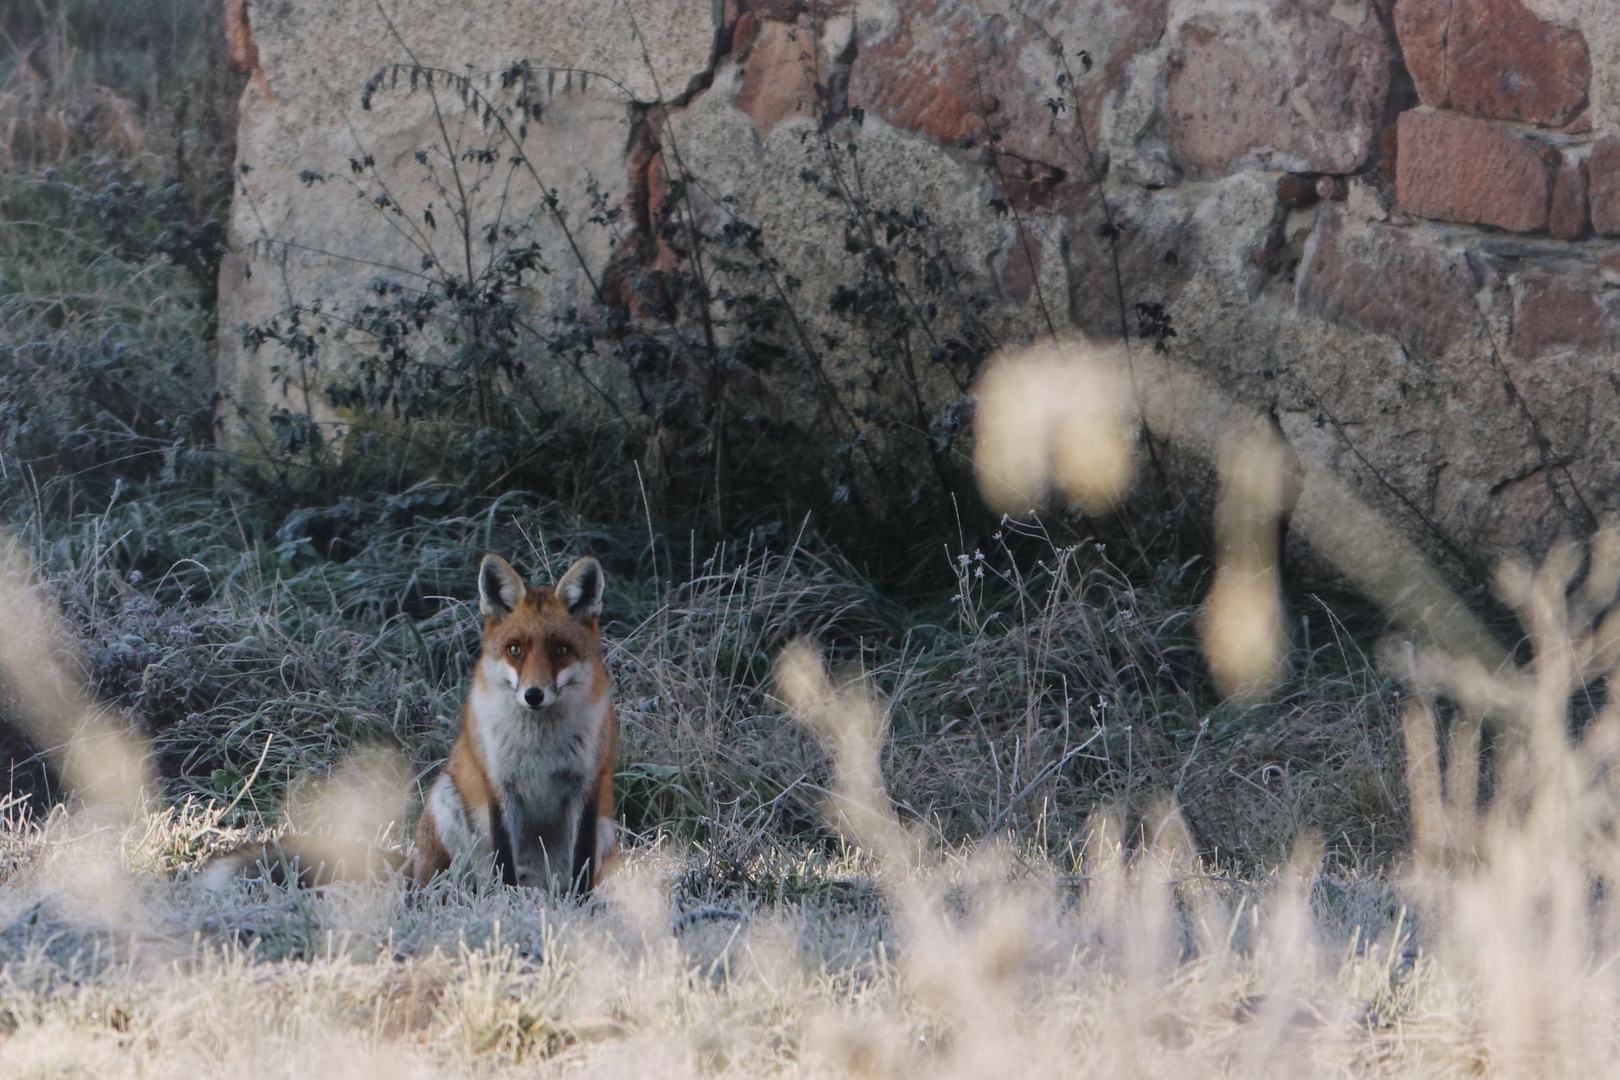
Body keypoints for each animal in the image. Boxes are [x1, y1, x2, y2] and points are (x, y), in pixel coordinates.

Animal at [411, 553, 618, 893]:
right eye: (515, 649)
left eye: (561, 650)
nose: (534, 695)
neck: (539, 746)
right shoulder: (500, 784)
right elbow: (504, 858)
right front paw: (506, 900)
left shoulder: (586, 784)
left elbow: (582, 862)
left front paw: (580, 902)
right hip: (444, 802)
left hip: (605, 830)